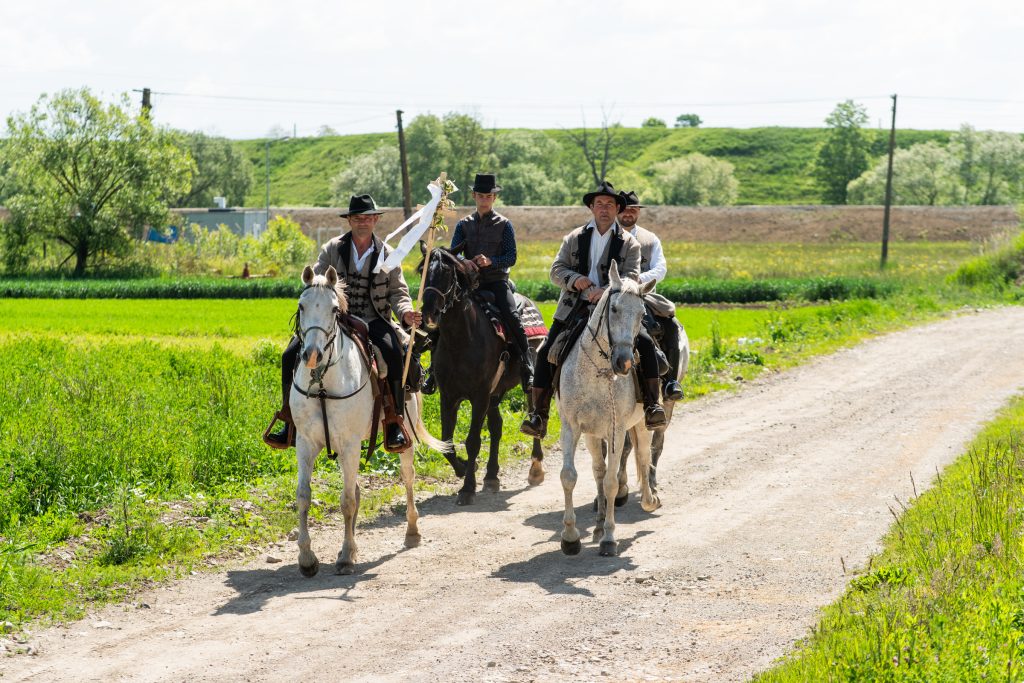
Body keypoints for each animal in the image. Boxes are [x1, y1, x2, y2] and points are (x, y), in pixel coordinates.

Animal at [288, 264, 448, 573]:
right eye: (301, 306)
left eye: (334, 309)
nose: (311, 355)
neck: (323, 383)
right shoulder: (306, 442)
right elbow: (303, 496)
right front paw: (306, 558)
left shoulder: (349, 444)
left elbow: (348, 501)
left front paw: (346, 556)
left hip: (402, 437)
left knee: (407, 476)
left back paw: (412, 532)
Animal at [417, 248, 544, 505]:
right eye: (423, 271)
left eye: (447, 274)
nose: (428, 314)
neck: (462, 340)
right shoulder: (449, 396)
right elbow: (446, 440)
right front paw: (465, 468)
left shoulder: (479, 396)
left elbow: (472, 441)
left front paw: (467, 488)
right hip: (495, 394)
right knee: (496, 427)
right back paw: (491, 475)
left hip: (521, 386)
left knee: (532, 414)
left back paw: (535, 468)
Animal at [557, 260, 659, 557]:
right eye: (613, 309)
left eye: (642, 314)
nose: (624, 363)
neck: (597, 373)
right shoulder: (571, 426)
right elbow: (570, 477)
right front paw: (570, 537)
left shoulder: (617, 431)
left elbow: (613, 482)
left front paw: (610, 538)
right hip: (592, 434)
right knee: (598, 471)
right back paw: (599, 523)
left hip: (641, 423)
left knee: (644, 456)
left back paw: (649, 500)